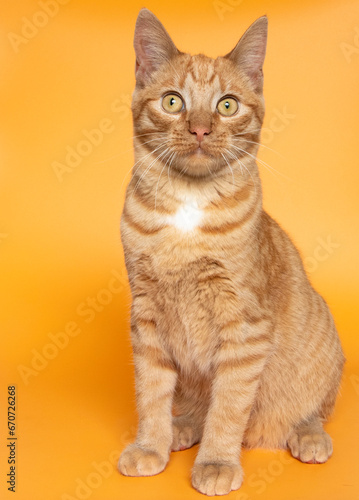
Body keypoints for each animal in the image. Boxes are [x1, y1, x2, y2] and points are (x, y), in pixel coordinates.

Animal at [118, 8, 346, 496]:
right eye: (173, 102)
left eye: (227, 105)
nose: (201, 128)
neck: (187, 207)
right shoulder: (146, 316)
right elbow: (151, 392)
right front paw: (151, 445)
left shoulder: (244, 328)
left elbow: (229, 406)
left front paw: (217, 462)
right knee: (192, 407)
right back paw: (182, 426)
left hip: (323, 354)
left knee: (311, 410)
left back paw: (307, 436)